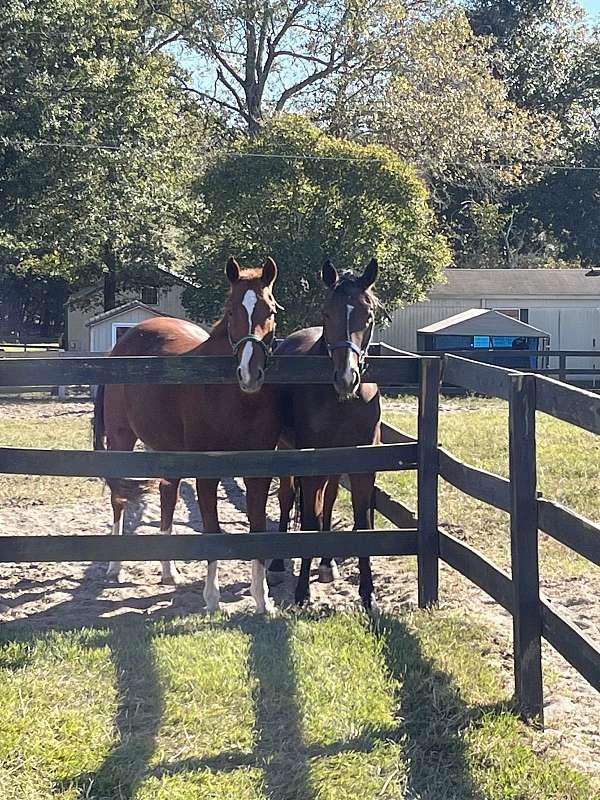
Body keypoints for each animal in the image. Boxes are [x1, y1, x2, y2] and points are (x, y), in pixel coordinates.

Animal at [92, 256, 282, 613]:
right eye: (231, 311)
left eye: (271, 310)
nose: (250, 373)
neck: (232, 399)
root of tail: (123, 344)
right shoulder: (207, 474)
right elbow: (211, 530)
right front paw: (212, 599)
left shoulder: (259, 473)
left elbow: (258, 527)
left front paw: (263, 600)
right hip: (122, 441)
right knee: (119, 498)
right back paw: (114, 568)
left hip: (165, 449)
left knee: (167, 496)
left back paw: (170, 572)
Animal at [268, 258, 381, 608]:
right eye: (326, 313)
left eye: (368, 315)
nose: (346, 378)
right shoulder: (310, 462)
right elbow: (308, 518)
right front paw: (302, 592)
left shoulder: (363, 465)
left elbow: (360, 523)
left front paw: (368, 593)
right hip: (286, 451)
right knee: (289, 498)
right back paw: (277, 564)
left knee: (327, 500)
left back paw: (327, 562)